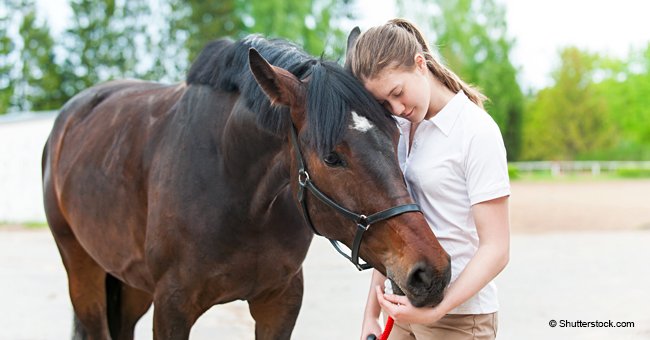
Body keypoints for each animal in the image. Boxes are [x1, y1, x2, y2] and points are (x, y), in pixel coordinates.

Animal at [39, 32, 446, 340]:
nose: (431, 272)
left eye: (395, 136)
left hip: (132, 283)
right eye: (332, 157)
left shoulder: (280, 301)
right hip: (83, 272)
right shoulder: (171, 306)